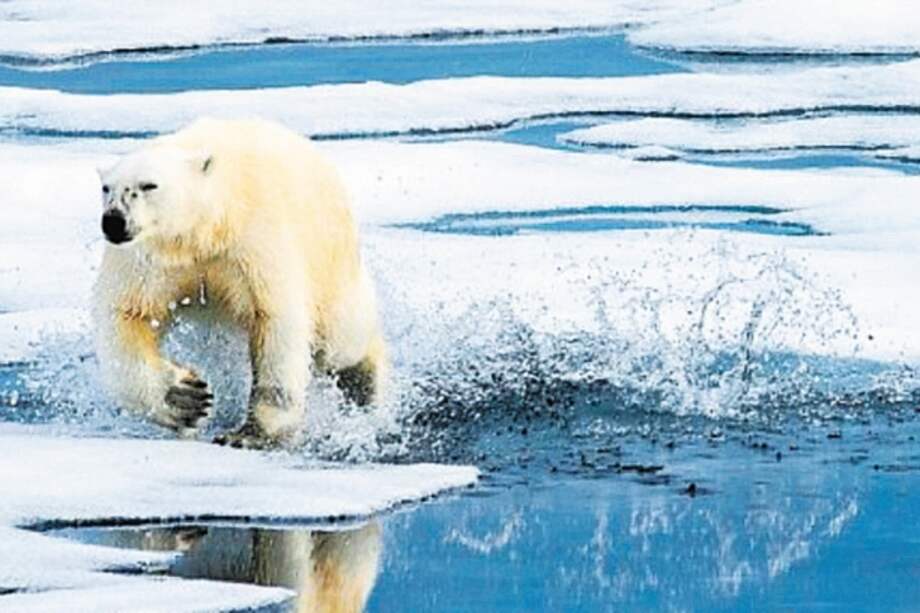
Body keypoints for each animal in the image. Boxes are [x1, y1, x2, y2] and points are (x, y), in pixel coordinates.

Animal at [91, 117, 387, 448]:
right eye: (106, 188)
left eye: (148, 185)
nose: (113, 221)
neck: (204, 232)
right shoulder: (148, 261)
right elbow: (126, 315)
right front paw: (186, 399)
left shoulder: (253, 244)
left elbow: (275, 319)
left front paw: (249, 434)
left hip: (328, 255)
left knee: (340, 340)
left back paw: (367, 386)